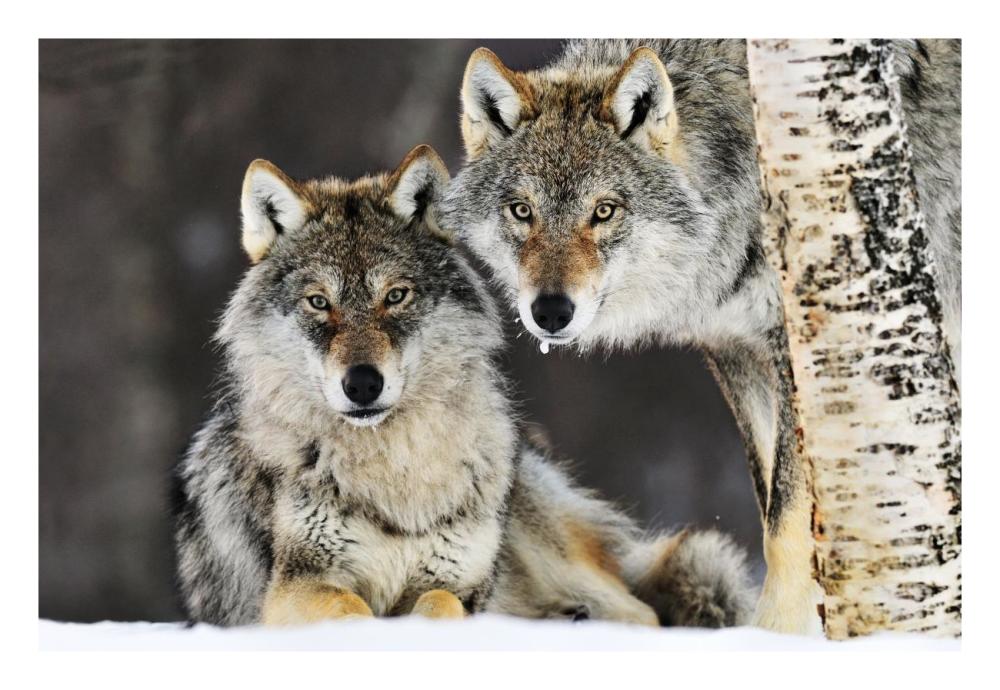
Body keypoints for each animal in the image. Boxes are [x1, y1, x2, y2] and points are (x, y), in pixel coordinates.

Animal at [171, 144, 754, 627]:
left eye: (396, 296)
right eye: (319, 303)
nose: (362, 384)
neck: (396, 470)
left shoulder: (456, 582)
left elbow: (438, 604)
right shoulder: (295, 587)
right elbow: (350, 608)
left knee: (644, 614)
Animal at [439, 39, 961, 634]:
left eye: (604, 211)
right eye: (522, 211)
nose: (550, 311)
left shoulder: (794, 350)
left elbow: (785, 522)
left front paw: (776, 635)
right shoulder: (736, 349)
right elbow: (769, 502)